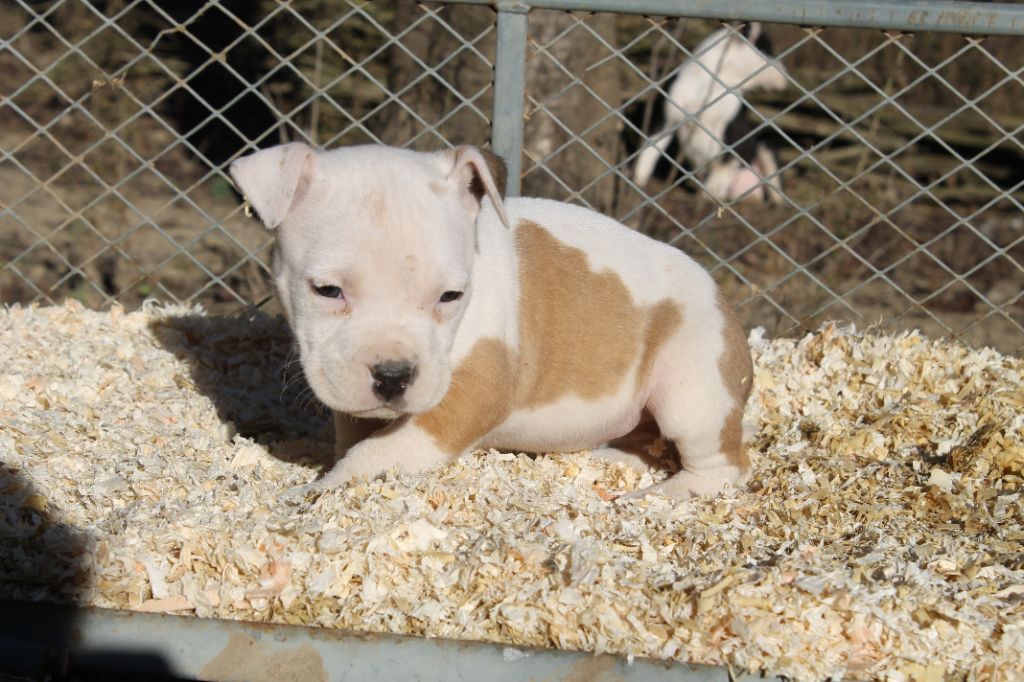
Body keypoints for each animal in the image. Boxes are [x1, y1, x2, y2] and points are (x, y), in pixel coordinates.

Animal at [230, 143, 753, 497]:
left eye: (450, 296)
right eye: (327, 291)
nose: (394, 377)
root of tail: (724, 298)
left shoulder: (465, 397)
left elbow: (375, 452)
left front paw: (317, 491)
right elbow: (355, 433)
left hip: (691, 389)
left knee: (722, 463)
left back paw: (666, 496)